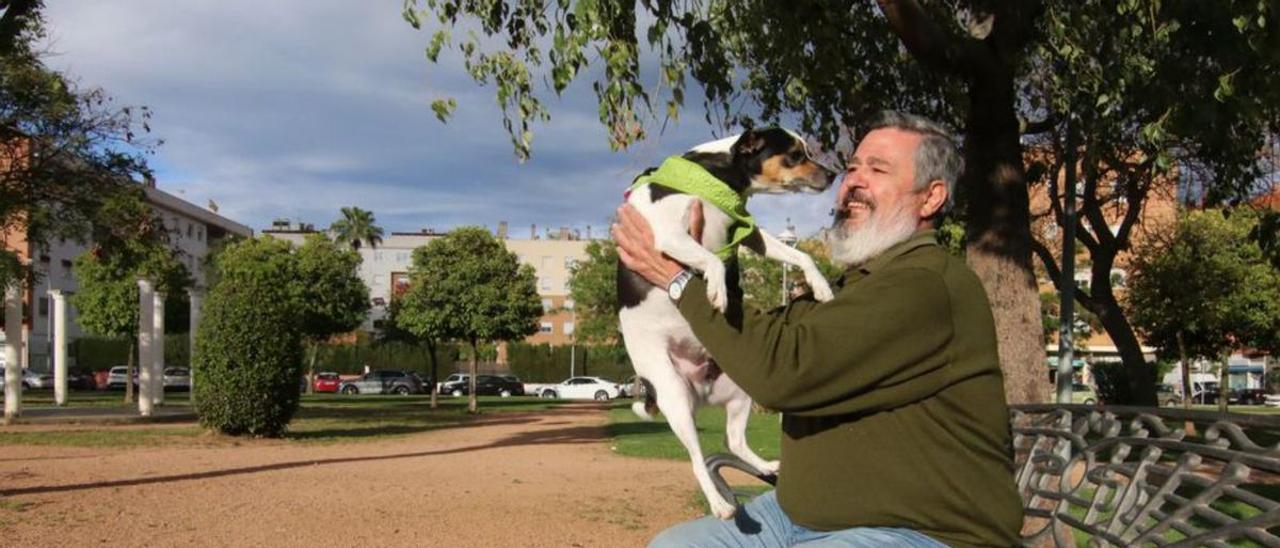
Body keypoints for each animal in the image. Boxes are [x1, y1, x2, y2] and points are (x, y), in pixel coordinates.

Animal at [619, 128, 839, 517]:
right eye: (795, 155)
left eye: (807, 151)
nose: (832, 175)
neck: (717, 176)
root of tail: (699, 390)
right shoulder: (668, 235)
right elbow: (712, 260)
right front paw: (718, 290)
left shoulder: (750, 233)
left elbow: (800, 255)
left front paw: (821, 285)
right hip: (675, 397)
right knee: (696, 460)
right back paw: (720, 505)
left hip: (742, 388)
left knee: (733, 440)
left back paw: (765, 465)